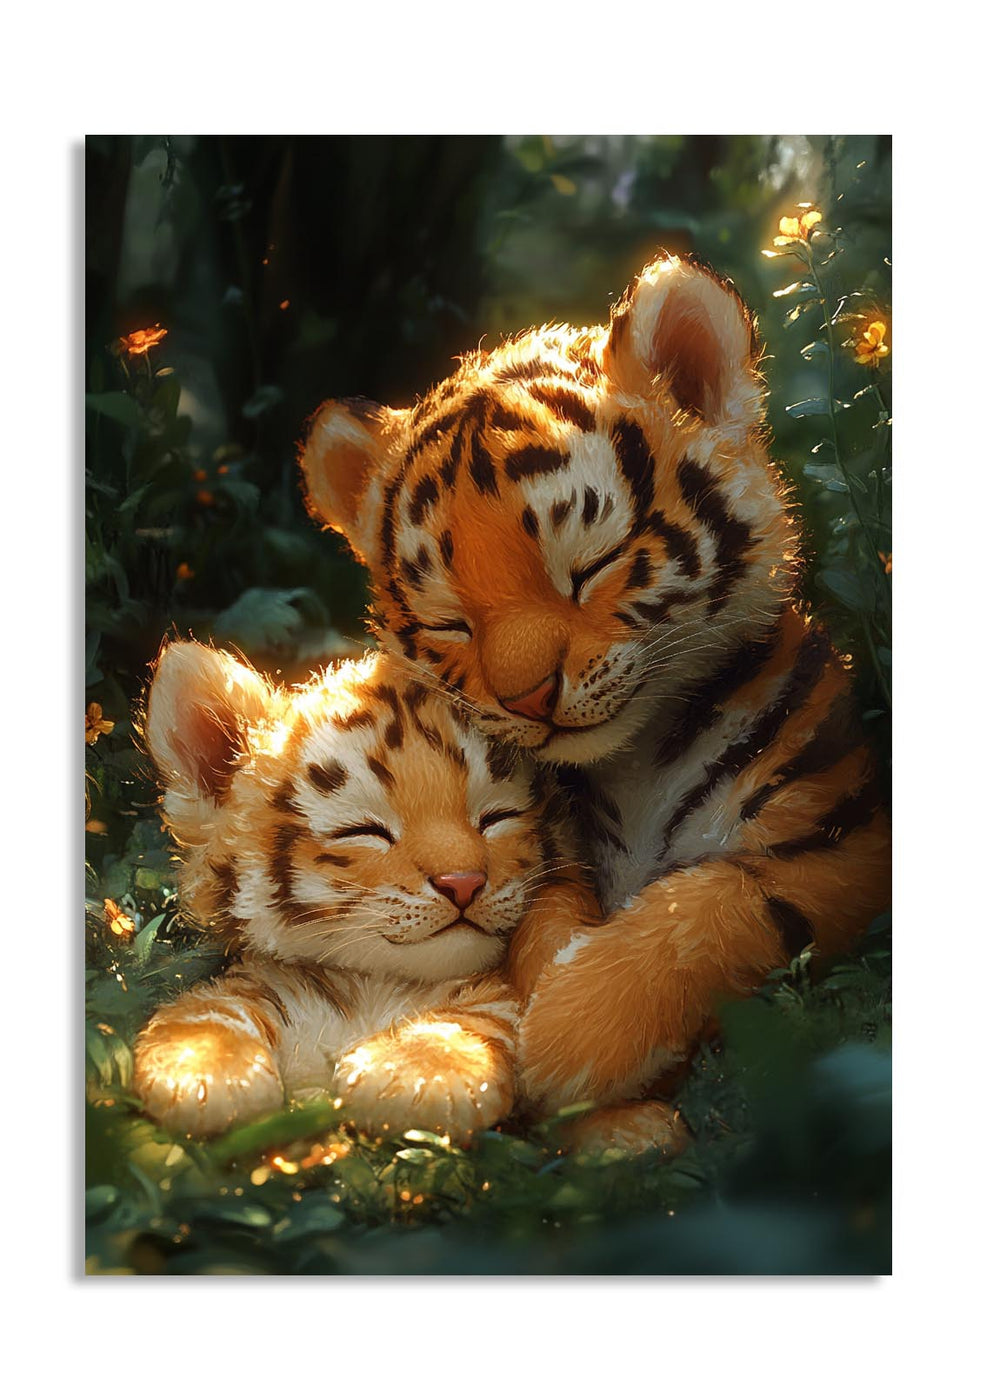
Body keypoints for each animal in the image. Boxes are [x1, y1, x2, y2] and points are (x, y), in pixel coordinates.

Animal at [132, 639, 602, 1143]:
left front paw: (410, 1074)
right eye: (364, 830)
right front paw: (202, 1070)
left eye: (496, 817)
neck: (373, 984)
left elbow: (481, 1017)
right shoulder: (260, 984)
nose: (464, 882)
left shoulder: (507, 1000)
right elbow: (210, 1011)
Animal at [298, 252, 891, 1128]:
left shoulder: (842, 841)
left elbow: (716, 902)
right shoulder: (543, 855)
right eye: (450, 621)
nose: (526, 697)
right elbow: (540, 921)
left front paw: (572, 1038)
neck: (637, 757)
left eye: (590, 567)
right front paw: (545, 1005)